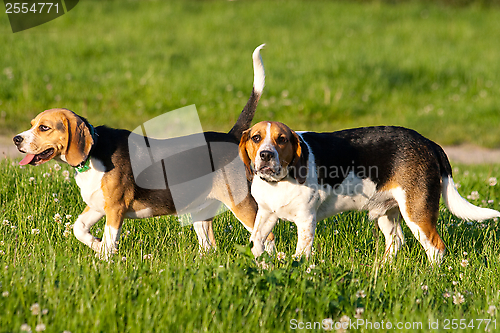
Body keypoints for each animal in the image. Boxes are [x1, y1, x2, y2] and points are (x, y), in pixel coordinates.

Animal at [239, 120, 500, 264]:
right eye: (256, 138)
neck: (279, 181)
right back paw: (383, 269)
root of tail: (428, 143)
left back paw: (431, 277)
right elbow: (257, 243)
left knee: (436, 247)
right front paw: (261, 264)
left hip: (416, 213)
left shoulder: (306, 221)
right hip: (388, 213)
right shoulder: (266, 215)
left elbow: (301, 254)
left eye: (282, 139)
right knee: (396, 241)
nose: (266, 155)